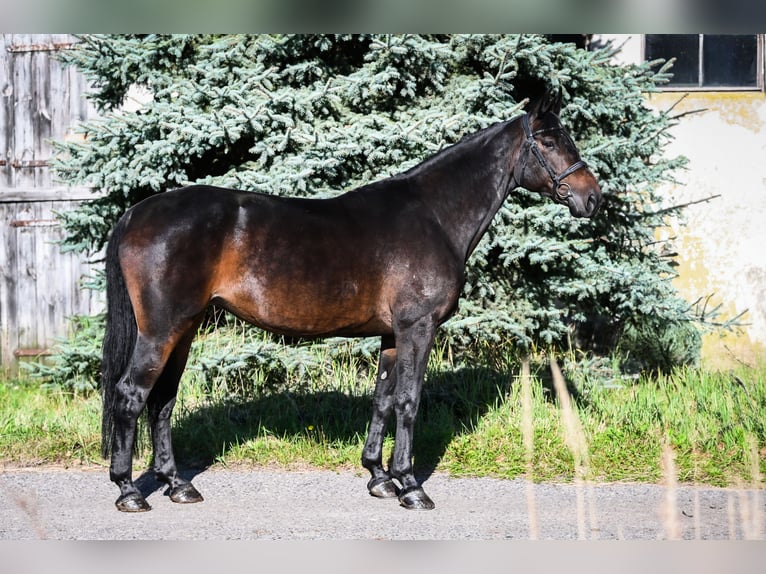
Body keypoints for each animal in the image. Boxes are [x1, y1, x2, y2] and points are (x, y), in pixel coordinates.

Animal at [100, 92, 600, 516]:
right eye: (549, 141)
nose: (591, 197)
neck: (434, 215)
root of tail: (136, 213)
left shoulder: (391, 335)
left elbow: (382, 399)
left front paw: (379, 478)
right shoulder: (418, 328)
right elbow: (409, 401)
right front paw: (411, 487)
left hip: (184, 329)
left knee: (162, 400)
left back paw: (177, 485)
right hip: (162, 330)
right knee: (131, 395)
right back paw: (128, 491)